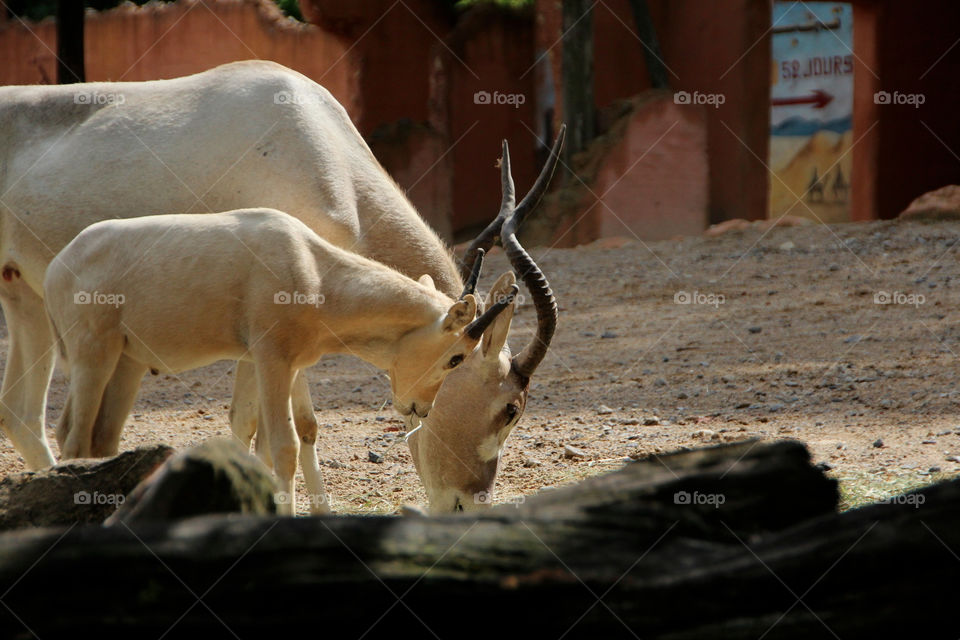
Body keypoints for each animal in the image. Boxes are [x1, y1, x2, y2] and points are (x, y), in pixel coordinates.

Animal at [43, 208, 516, 516]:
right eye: (456, 356)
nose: (419, 407)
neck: (311, 266)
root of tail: (57, 267)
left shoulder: (270, 363)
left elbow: (265, 444)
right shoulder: (274, 361)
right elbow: (284, 447)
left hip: (125, 362)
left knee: (92, 437)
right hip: (93, 356)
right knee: (75, 441)